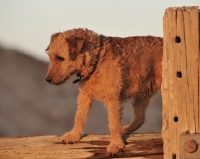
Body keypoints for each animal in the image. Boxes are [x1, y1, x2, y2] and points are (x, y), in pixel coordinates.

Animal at [45, 28, 162, 156]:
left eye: (60, 58)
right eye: (51, 57)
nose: (47, 79)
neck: (97, 60)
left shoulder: (113, 99)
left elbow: (114, 123)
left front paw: (116, 145)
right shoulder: (85, 95)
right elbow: (79, 116)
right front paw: (73, 135)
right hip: (141, 94)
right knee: (140, 118)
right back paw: (125, 129)